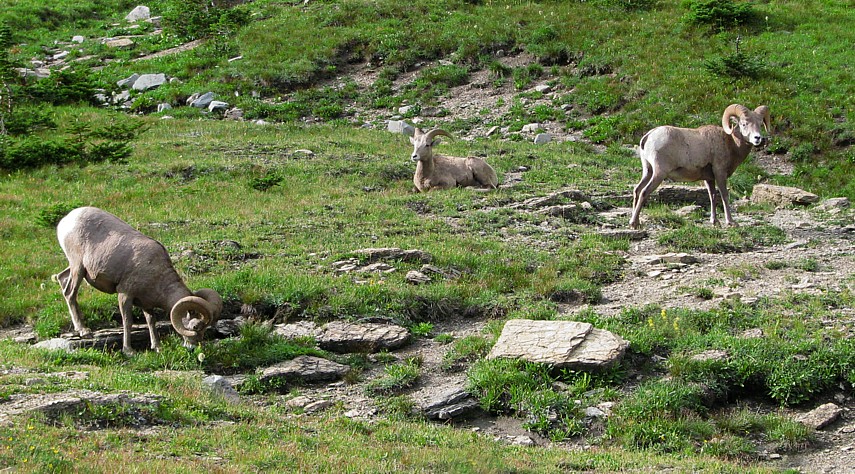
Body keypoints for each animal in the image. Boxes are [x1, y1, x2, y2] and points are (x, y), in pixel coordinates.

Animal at [54, 206, 224, 354]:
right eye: (195, 327)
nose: (193, 348)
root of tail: (66, 220)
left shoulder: (146, 304)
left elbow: (151, 321)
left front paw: (157, 347)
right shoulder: (125, 295)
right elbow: (127, 322)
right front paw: (128, 351)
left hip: (77, 269)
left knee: (61, 278)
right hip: (78, 267)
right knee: (70, 293)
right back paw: (83, 331)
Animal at [628, 104, 768, 230]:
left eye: (760, 124)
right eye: (744, 124)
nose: (757, 138)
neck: (731, 143)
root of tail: (648, 136)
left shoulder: (709, 179)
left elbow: (712, 196)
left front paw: (715, 222)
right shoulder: (720, 173)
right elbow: (724, 196)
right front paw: (731, 222)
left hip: (648, 171)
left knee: (637, 190)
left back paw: (635, 222)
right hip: (659, 173)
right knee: (644, 192)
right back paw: (634, 223)